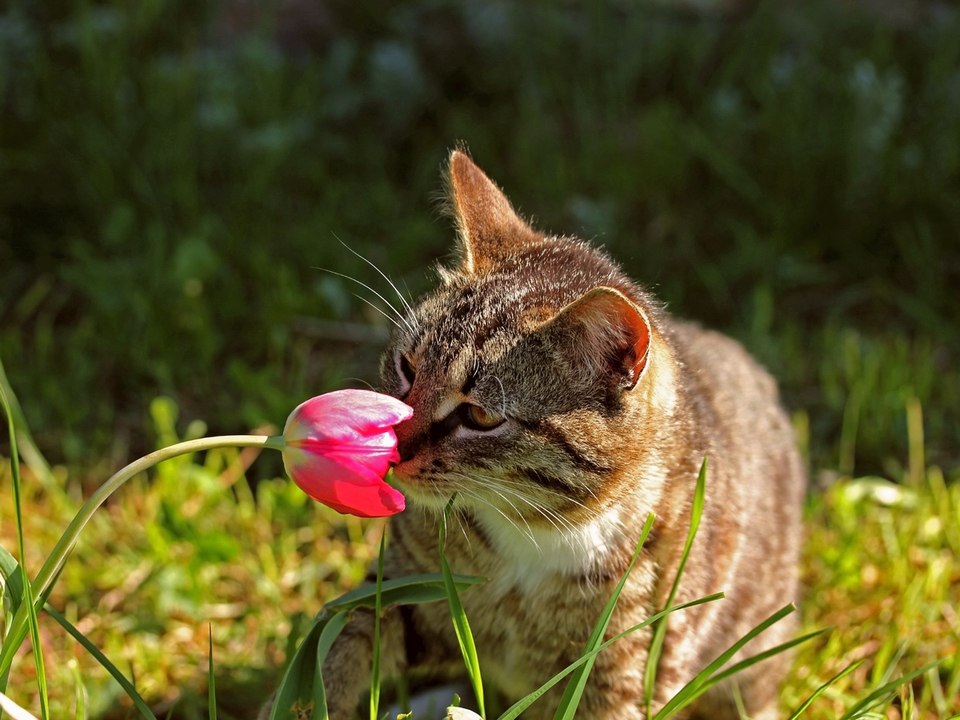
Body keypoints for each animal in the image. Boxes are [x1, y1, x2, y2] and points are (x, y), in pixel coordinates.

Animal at [266, 149, 808, 716]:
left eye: (481, 417)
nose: (394, 450)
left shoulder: (624, 668)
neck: (531, 538)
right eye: (407, 368)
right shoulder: (406, 588)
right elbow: (340, 640)